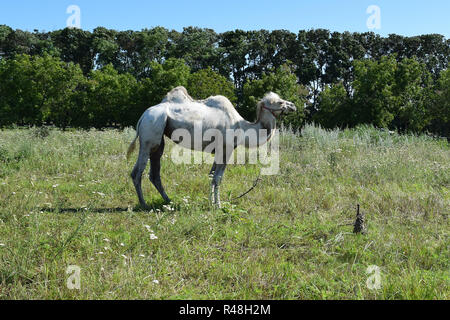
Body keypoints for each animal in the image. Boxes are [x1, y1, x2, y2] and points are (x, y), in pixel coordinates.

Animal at [126, 86, 298, 209]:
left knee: (154, 173)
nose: (293, 106)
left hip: (158, 139)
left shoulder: (219, 151)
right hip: (150, 134)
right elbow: (218, 178)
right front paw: (218, 205)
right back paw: (144, 204)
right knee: (137, 172)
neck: (242, 127)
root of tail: (143, 116)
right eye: (279, 102)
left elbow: (212, 175)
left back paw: (168, 201)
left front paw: (212, 202)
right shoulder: (227, 149)